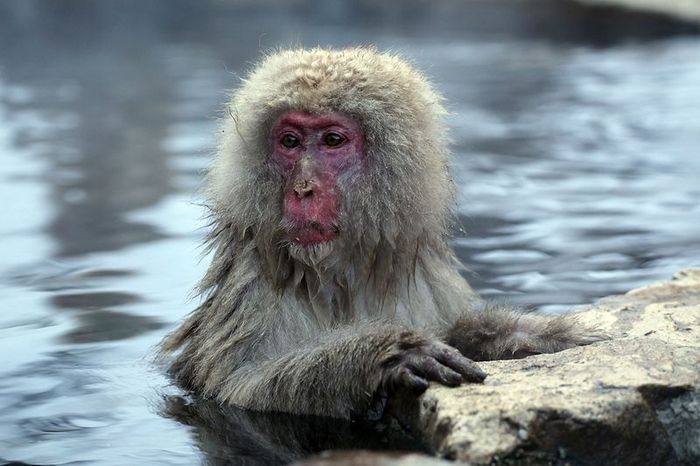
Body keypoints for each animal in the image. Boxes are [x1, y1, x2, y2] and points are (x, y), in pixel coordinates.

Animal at [159, 46, 600, 418]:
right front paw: (383, 354)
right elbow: (241, 390)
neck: (345, 271)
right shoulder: (251, 286)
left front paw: (531, 336)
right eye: (290, 141)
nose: (303, 189)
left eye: (332, 140)